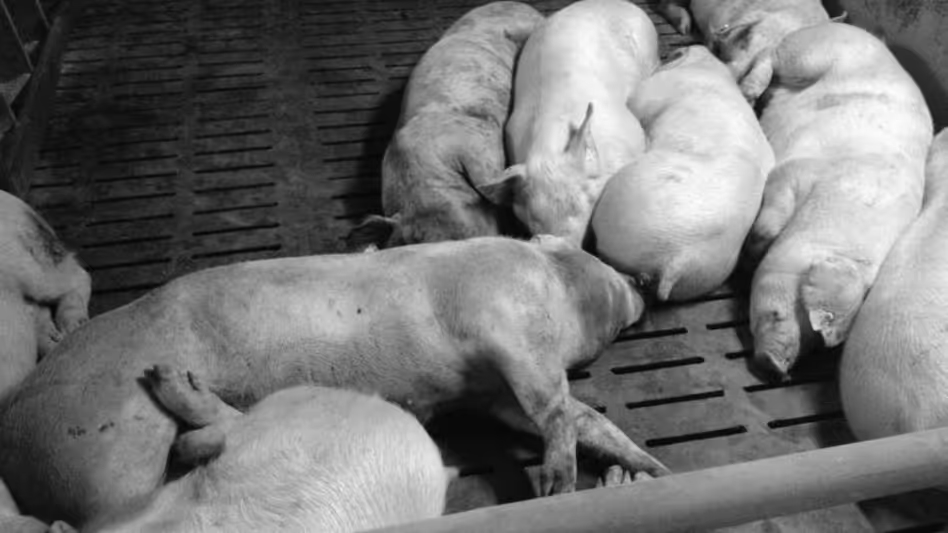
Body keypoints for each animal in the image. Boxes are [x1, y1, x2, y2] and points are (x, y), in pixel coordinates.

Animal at [590, 45, 774, 302]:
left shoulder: (649, 92)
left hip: (622, 198)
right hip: (708, 271)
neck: (706, 66)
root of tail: (677, 257)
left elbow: (635, 103)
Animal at [743, 23, 933, 379]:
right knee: (771, 52)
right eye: (790, 311)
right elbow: (771, 216)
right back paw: (748, 92)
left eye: (814, 344)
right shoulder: (795, 173)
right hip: (810, 54)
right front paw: (752, 249)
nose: (774, 368)